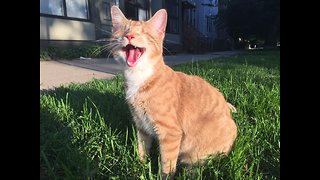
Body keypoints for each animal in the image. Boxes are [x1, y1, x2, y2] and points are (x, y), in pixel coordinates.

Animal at [110, 5, 238, 177]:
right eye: (124, 30)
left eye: (144, 32)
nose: (129, 36)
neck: (139, 78)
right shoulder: (141, 126)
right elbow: (142, 149)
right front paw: (139, 166)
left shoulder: (170, 133)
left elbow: (167, 164)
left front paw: (162, 176)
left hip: (201, 155)